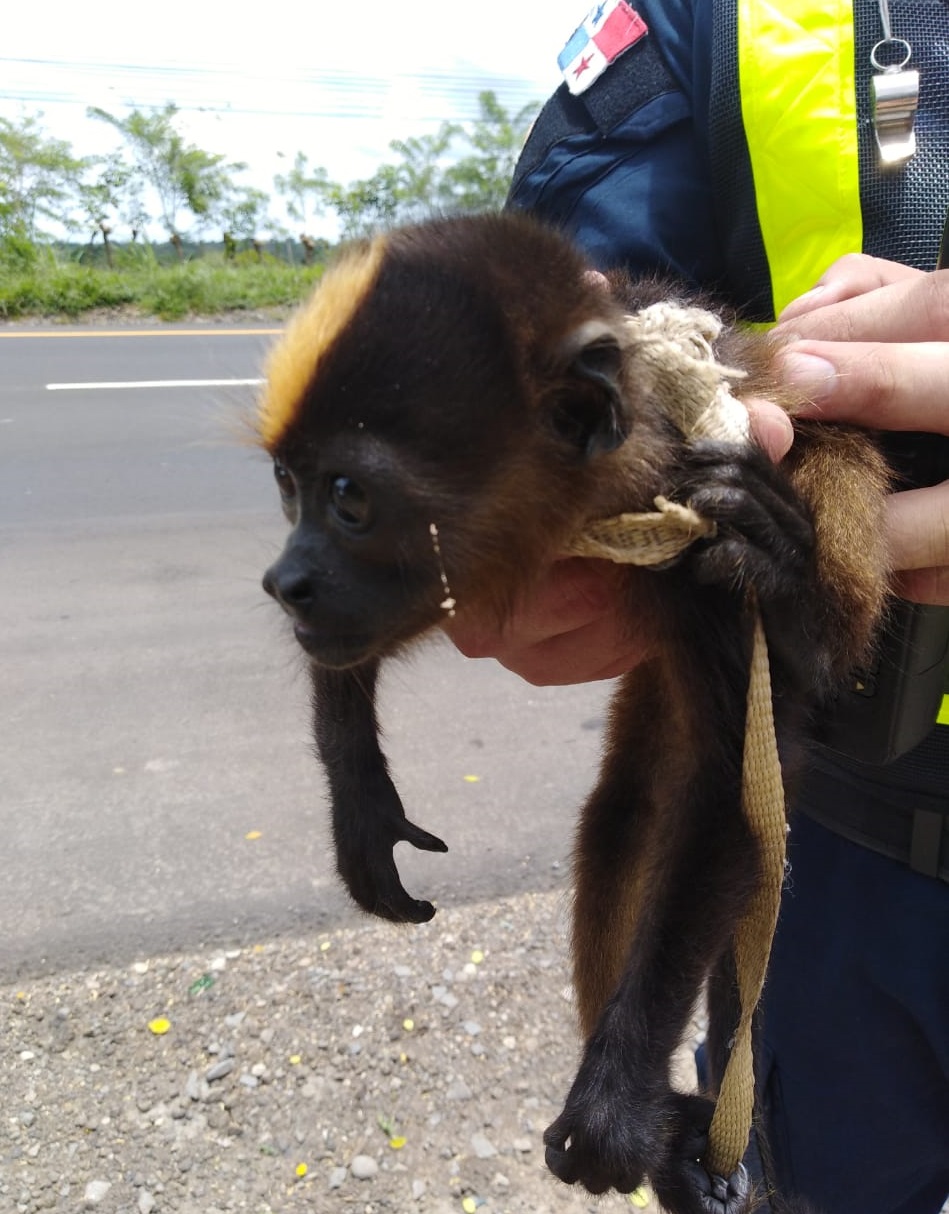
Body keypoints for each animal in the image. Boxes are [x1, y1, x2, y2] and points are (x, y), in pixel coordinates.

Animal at [254, 213, 893, 1214]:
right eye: (287, 484)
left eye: (349, 499)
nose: (285, 581)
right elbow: (354, 648)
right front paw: (360, 801)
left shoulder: (693, 522)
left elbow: (730, 802)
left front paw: (616, 1107)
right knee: (621, 822)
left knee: (828, 465)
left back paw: (801, 610)